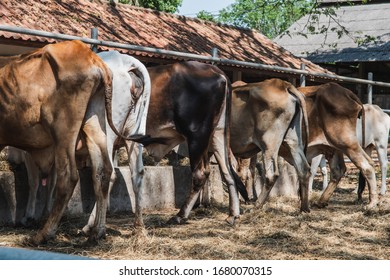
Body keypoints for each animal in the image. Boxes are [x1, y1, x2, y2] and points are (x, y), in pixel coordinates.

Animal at [0, 40, 143, 246]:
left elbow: (35, 182)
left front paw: (30, 217)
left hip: (64, 129)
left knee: (69, 177)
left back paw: (45, 234)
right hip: (100, 126)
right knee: (112, 172)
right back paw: (105, 231)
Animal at [225, 79, 310, 212]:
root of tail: (283, 84)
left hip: (269, 142)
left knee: (271, 174)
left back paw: (257, 205)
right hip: (293, 140)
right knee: (304, 169)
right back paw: (304, 208)